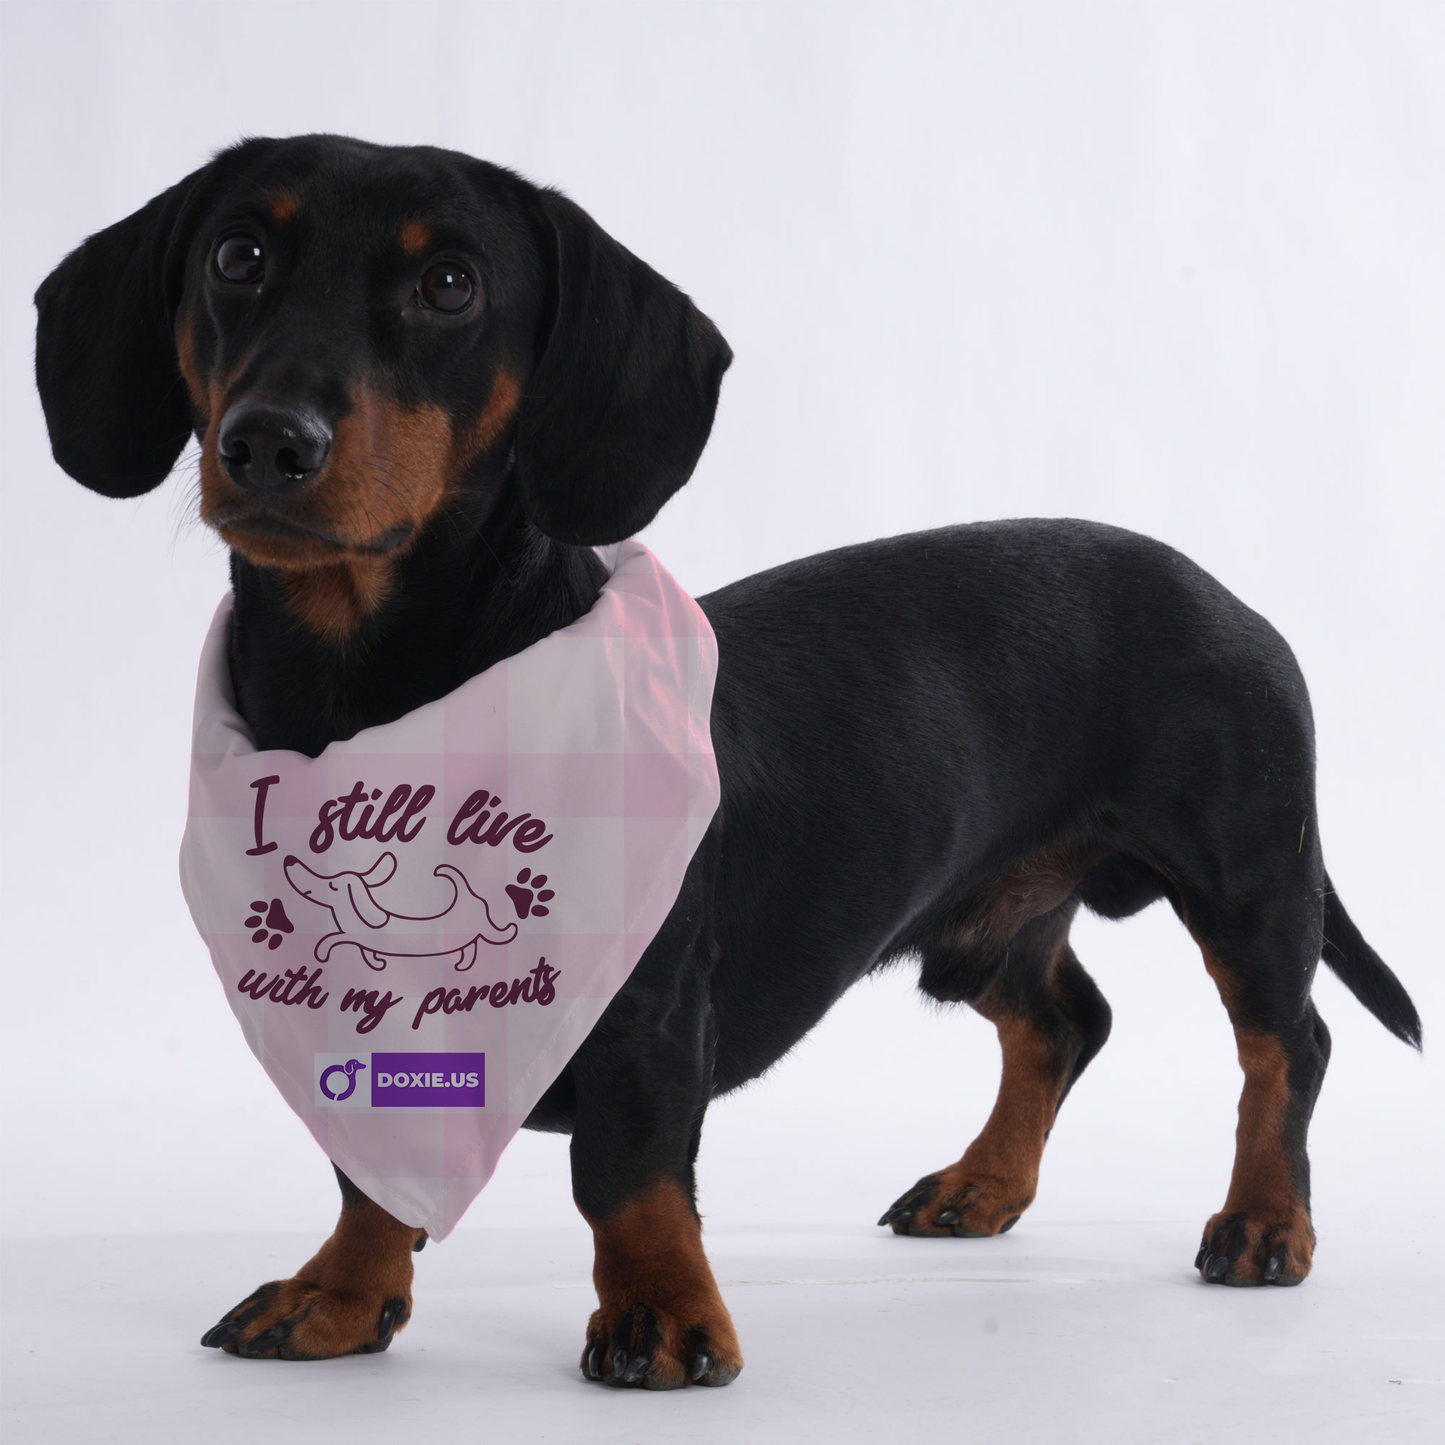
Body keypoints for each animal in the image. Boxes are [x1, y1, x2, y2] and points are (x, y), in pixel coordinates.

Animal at [36, 135, 1421, 1387]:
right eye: (237, 255)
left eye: (451, 285)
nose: (268, 441)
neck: (369, 704)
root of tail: (1227, 594)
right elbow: (369, 1165)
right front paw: (337, 1289)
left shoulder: (650, 1007)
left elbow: (628, 1168)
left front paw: (661, 1311)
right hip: (983, 925)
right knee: (1066, 1020)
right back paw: (981, 1183)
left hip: (1247, 877)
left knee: (1286, 1043)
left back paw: (1264, 1219)